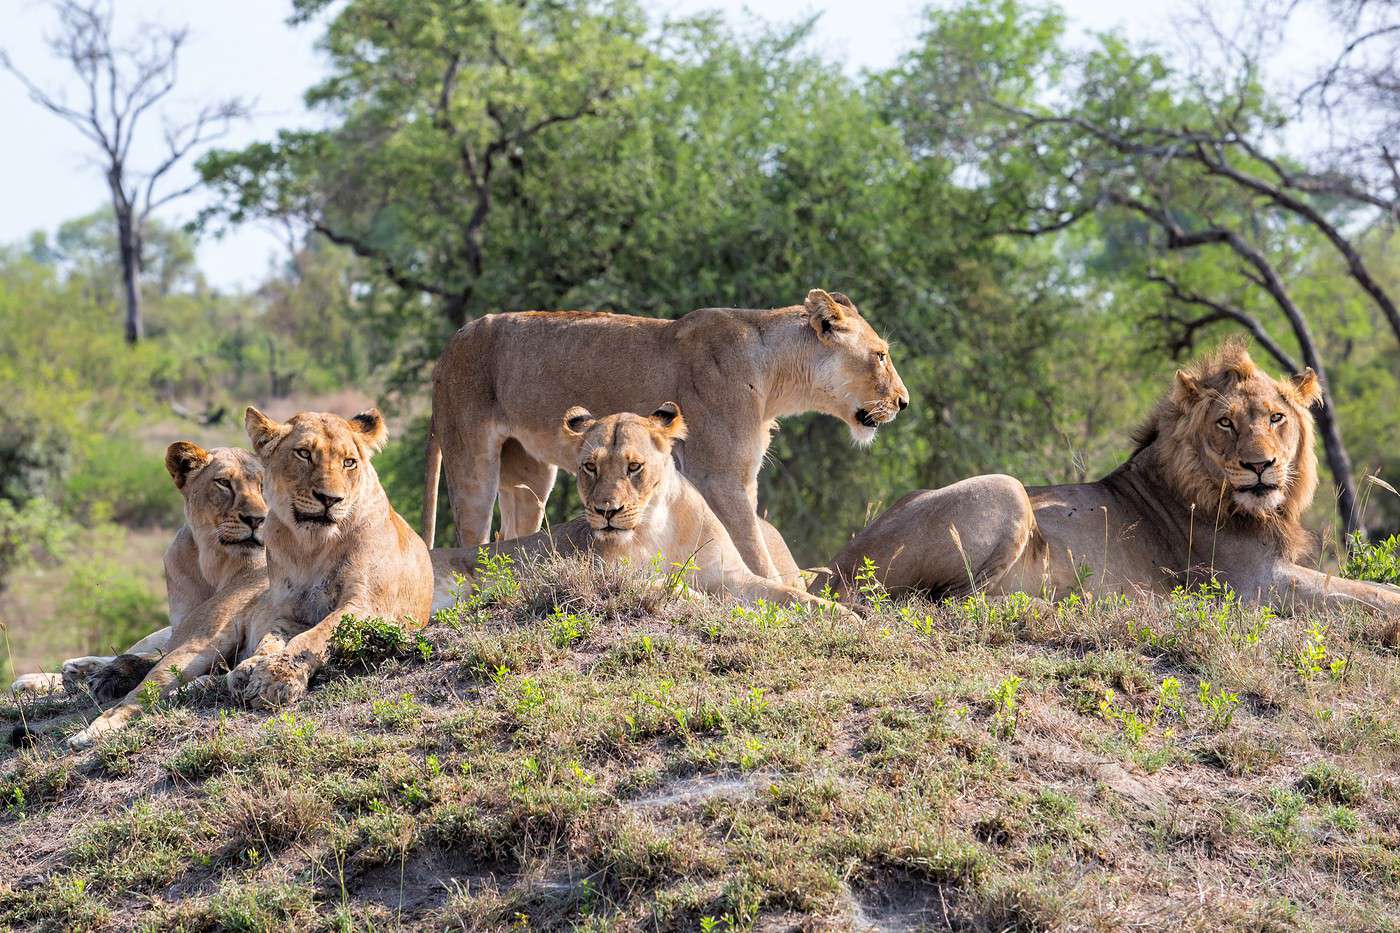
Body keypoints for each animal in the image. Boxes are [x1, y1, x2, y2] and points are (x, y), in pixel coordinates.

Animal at [226, 406, 434, 706]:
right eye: (304, 453)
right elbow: (269, 640)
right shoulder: (290, 614)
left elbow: (314, 637)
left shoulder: (366, 605)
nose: (330, 499)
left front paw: (276, 677)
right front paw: (249, 668)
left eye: (349, 462)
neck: (311, 546)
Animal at [422, 287, 907, 577]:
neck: (775, 378)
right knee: (472, 534)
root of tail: (451, 341)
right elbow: (753, 549)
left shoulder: (740, 477)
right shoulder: (720, 476)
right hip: (472, 461)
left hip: (530, 474)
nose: (904, 401)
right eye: (881, 355)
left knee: (513, 532)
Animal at [436, 400, 851, 616]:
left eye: (634, 467)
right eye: (590, 467)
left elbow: (790, 595)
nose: (606, 511)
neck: (656, 525)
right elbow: (666, 584)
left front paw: (845, 615)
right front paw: (704, 602)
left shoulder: (730, 576)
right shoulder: (604, 575)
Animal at [817, 337, 1400, 613]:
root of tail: (832, 569)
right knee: (946, 602)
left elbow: (1367, 590)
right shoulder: (1251, 586)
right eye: (1226, 423)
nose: (1260, 466)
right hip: (1006, 490)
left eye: (1277, 418)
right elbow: (1360, 597)